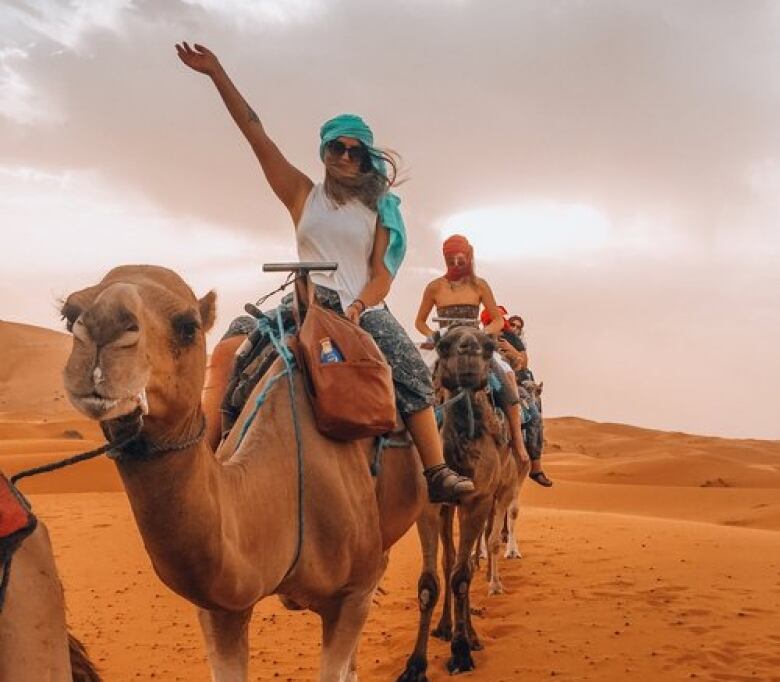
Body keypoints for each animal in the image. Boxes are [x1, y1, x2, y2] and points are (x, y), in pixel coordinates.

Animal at [400, 322, 520, 676]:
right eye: (443, 345)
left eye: (489, 347)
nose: (469, 348)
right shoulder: (429, 507)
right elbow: (429, 582)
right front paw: (416, 664)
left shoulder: (478, 500)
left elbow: (463, 577)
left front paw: (463, 651)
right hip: (446, 509)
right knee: (449, 559)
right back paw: (444, 626)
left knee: (462, 564)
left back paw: (471, 635)